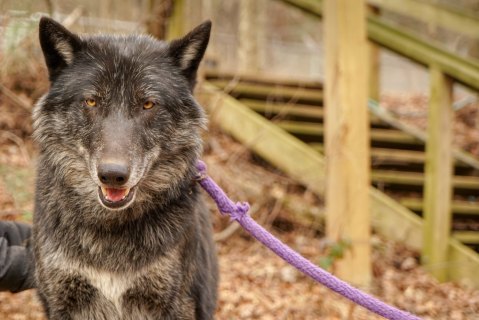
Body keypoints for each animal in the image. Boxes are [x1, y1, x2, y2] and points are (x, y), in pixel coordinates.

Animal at [33, 17, 219, 320]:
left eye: (148, 104)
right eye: (91, 101)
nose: (113, 174)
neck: (110, 234)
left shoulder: (174, 305)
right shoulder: (61, 301)